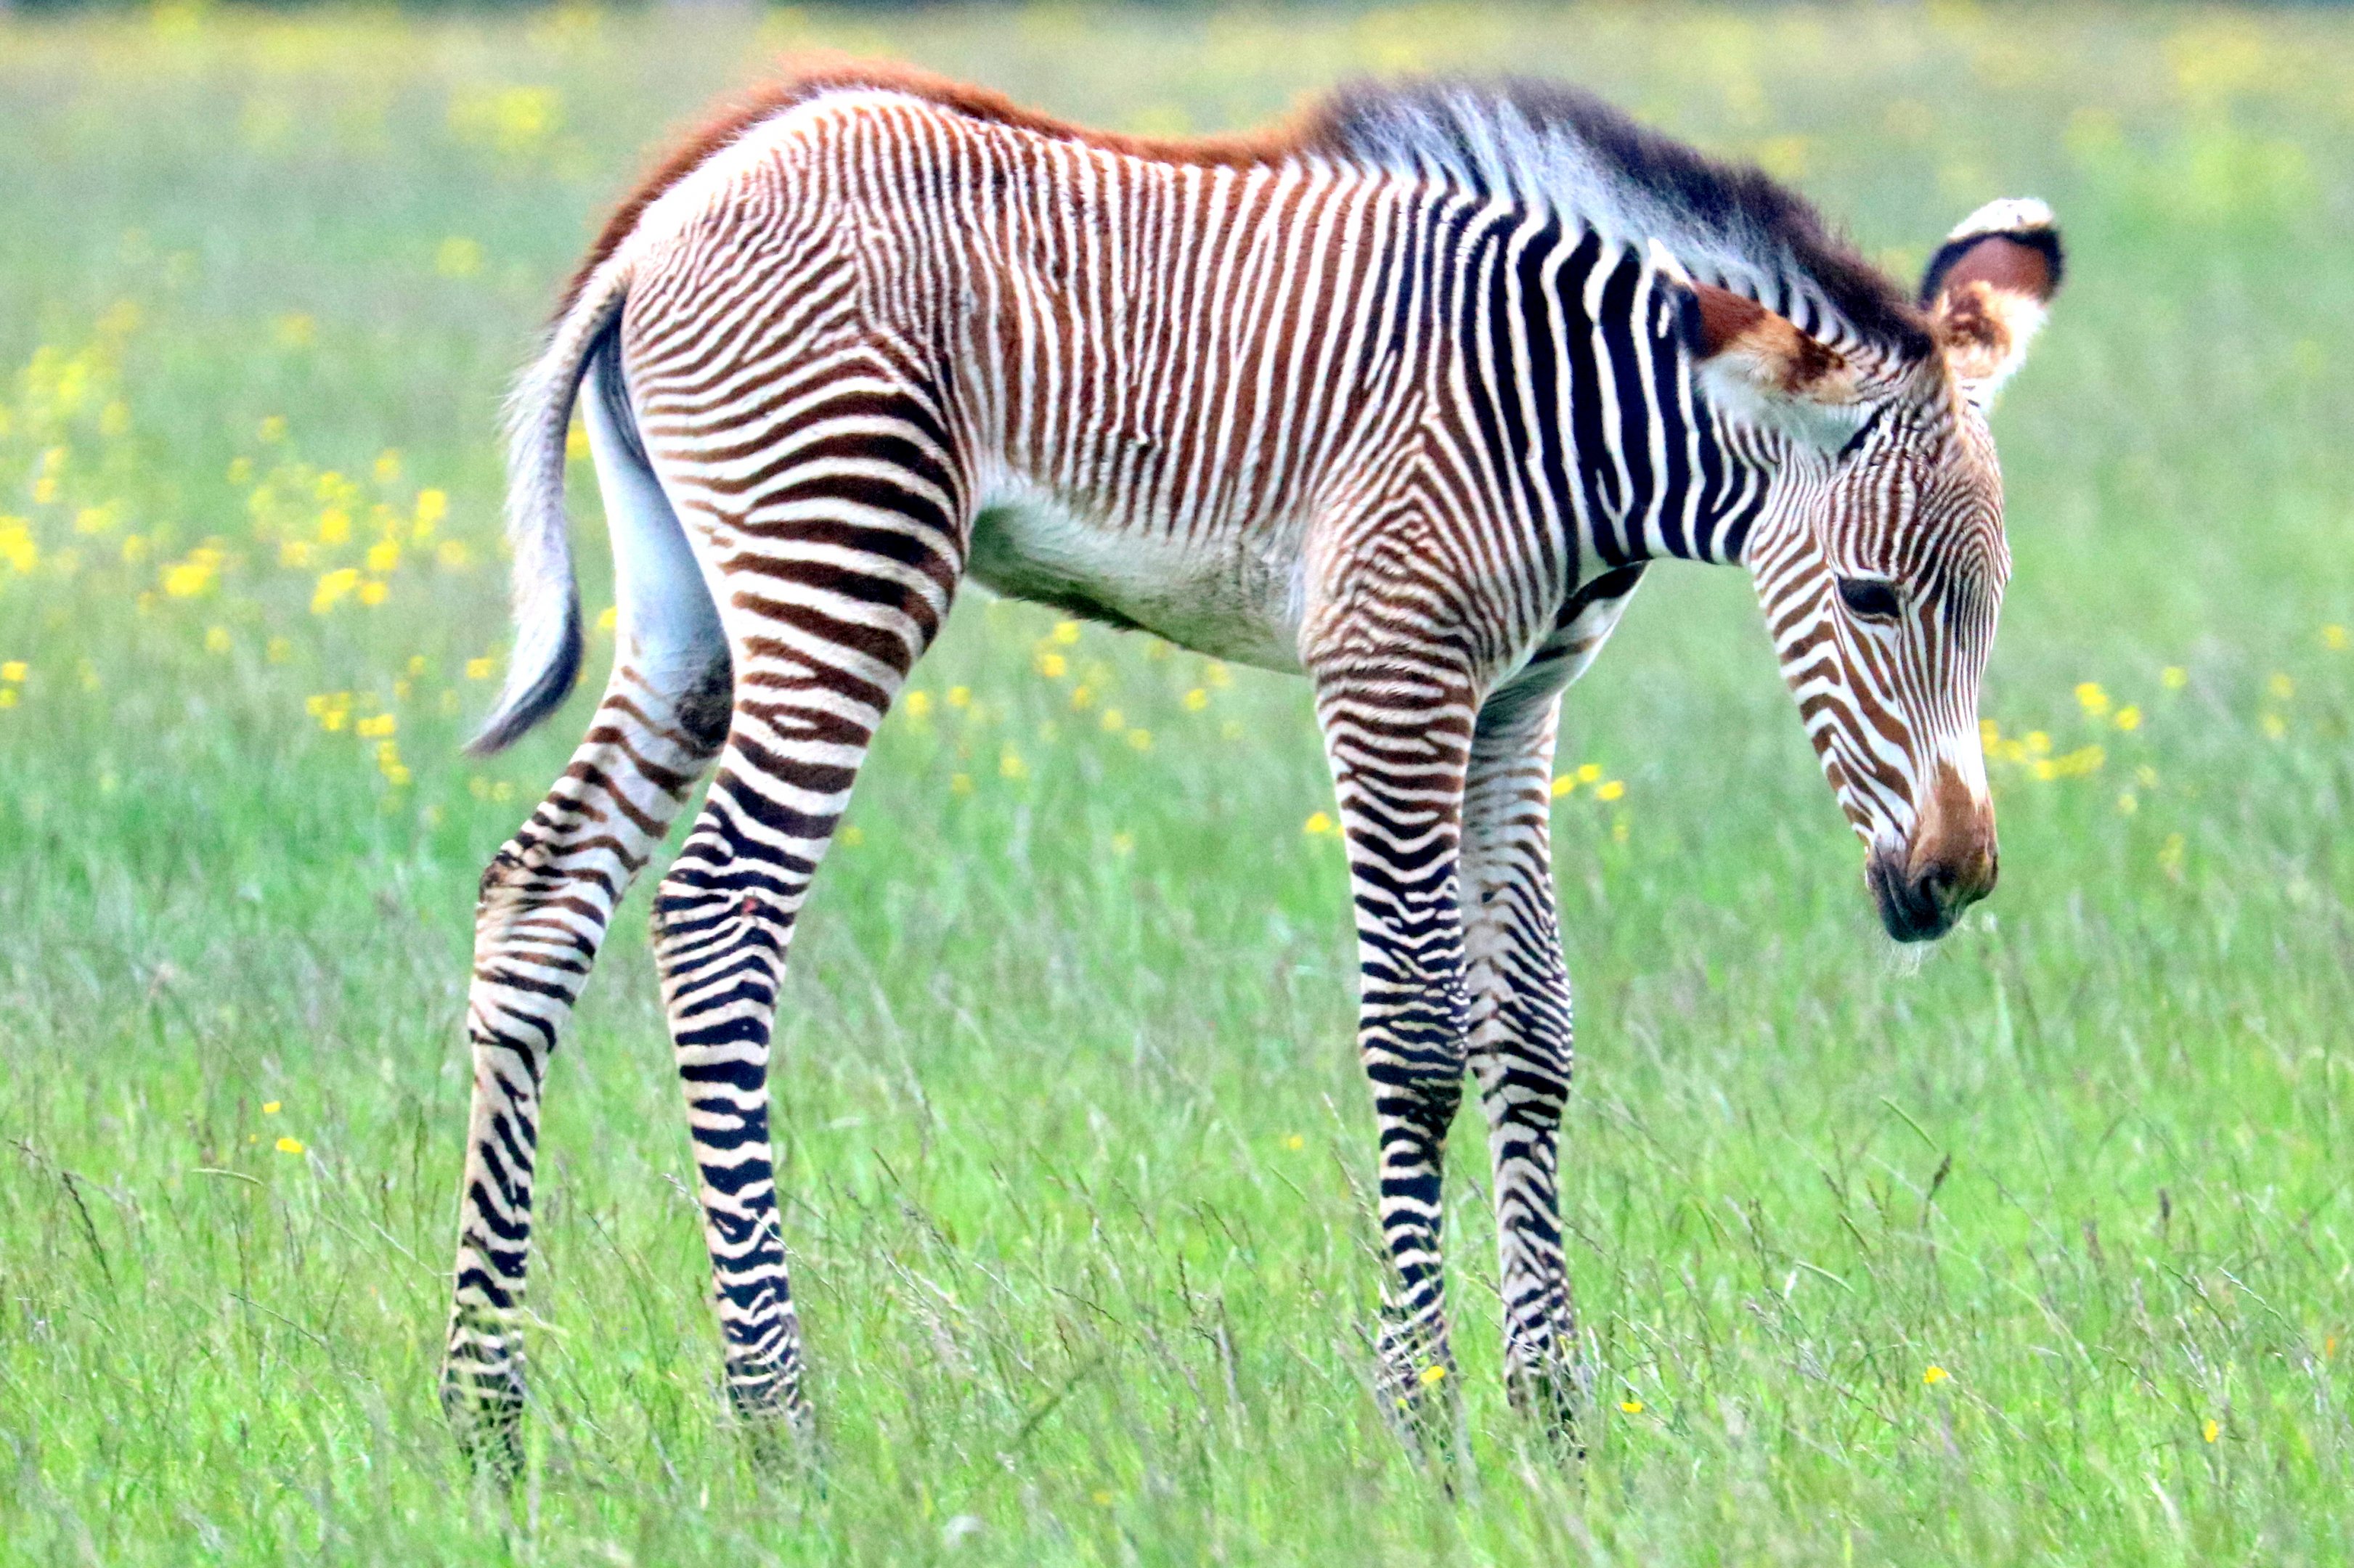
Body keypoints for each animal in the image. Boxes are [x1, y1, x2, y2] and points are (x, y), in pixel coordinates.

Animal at [440, 63, 2062, 1470]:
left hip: (691, 606)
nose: (1956, 880)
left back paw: (486, 1417)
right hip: (842, 551)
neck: (1570, 419)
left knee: (540, 897)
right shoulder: (1392, 670)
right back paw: (775, 1421)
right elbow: (1416, 1038)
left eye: (1993, 603)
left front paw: (1554, 1419)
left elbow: (1532, 1035)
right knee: (718, 917)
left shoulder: (1517, 706)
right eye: (1870, 598)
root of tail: (677, 202)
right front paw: (1427, 1418)